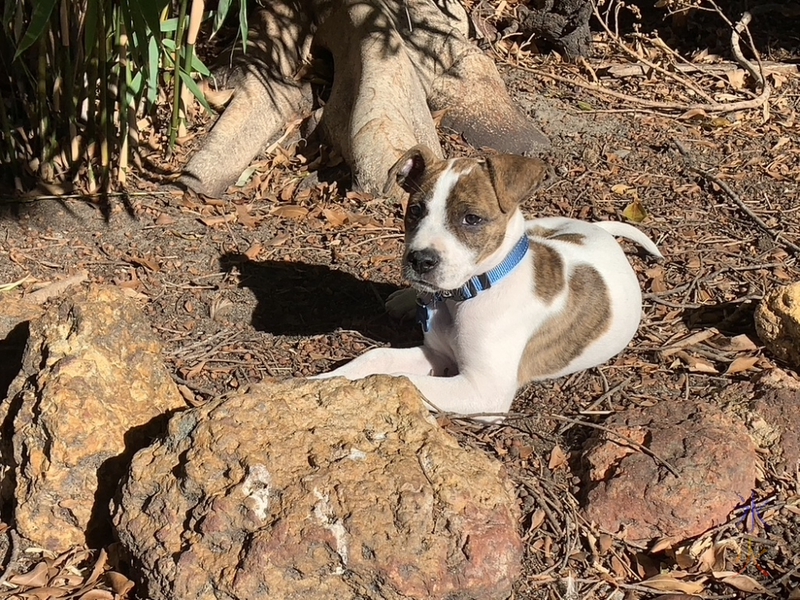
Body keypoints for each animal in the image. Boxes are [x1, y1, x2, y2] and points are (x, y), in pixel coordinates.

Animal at [312, 145, 664, 418]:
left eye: (472, 219)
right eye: (415, 211)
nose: (420, 260)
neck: (467, 293)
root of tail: (600, 232)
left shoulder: (482, 390)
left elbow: (400, 379)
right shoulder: (438, 353)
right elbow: (376, 358)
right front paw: (321, 383)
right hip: (539, 226)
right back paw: (404, 299)